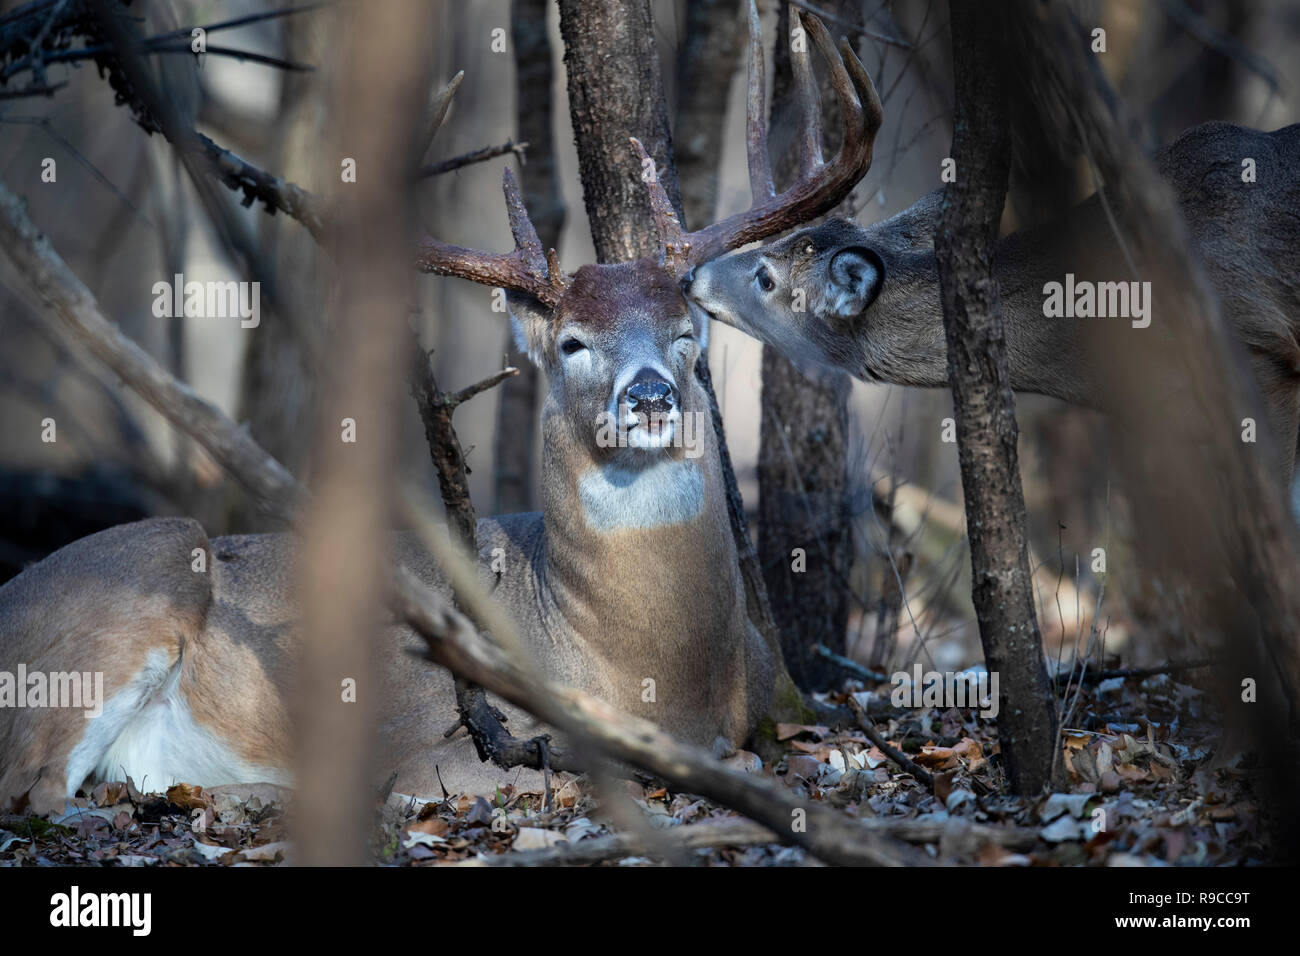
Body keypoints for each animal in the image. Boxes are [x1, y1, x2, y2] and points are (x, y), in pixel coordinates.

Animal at [0, 7, 883, 816]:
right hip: (132, 582)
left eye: (686, 335)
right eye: (572, 343)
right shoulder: (442, 744)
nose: (649, 396)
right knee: (39, 791)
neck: (655, 675)